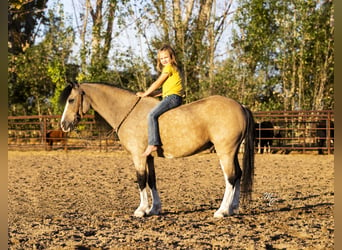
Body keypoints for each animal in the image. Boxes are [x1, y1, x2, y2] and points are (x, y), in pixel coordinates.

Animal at [59, 82, 254, 217]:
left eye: (71, 100)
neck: (129, 111)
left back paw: (222, 211)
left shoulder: (138, 156)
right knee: (238, 174)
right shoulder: (149, 157)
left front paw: (141, 210)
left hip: (225, 152)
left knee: (230, 178)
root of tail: (241, 106)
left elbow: (141, 180)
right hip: (233, 152)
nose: (63, 125)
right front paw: (154, 209)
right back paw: (233, 208)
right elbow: (152, 180)